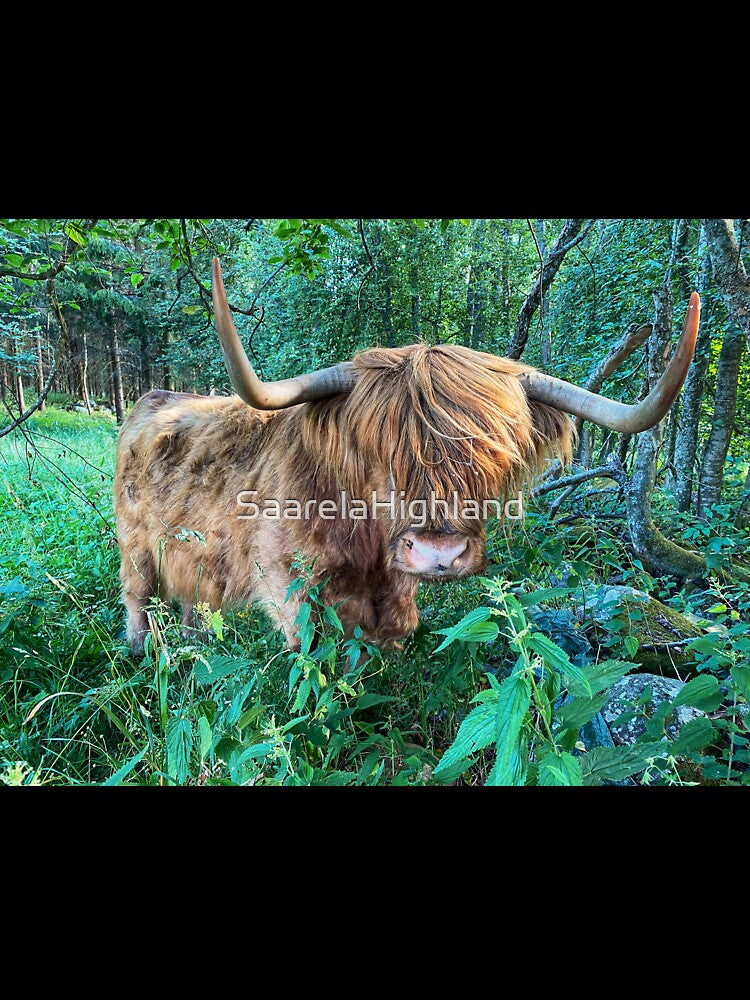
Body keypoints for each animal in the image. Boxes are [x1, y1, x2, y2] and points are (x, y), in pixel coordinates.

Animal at [114, 258, 700, 654]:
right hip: (135, 545)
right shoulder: (287, 586)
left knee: (191, 598)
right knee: (138, 597)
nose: (439, 553)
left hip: (188, 555)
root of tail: (153, 398)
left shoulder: (393, 600)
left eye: (492, 462)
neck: (364, 550)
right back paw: (143, 655)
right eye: (379, 455)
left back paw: (194, 648)